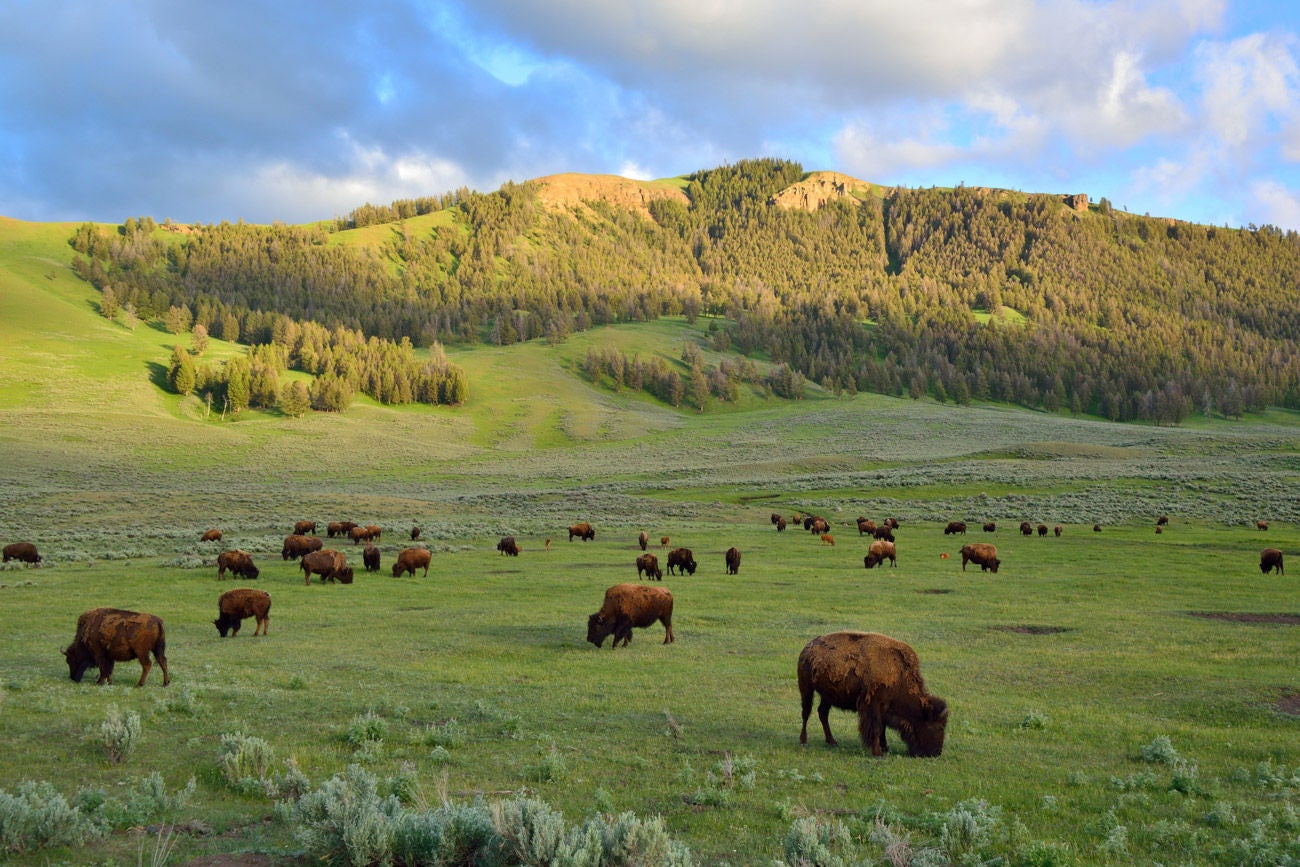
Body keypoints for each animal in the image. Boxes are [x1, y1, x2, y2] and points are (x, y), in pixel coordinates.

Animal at [795, 631, 951, 759]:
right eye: (939, 727)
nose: (937, 753)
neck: (899, 675)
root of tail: (807, 648)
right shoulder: (874, 706)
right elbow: (876, 728)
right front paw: (878, 753)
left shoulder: (883, 709)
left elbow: (882, 729)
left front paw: (885, 748)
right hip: (806, 688)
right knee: (806, 713)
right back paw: (803, 741)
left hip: (827, 695)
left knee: (822, 713)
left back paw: (832, 742)